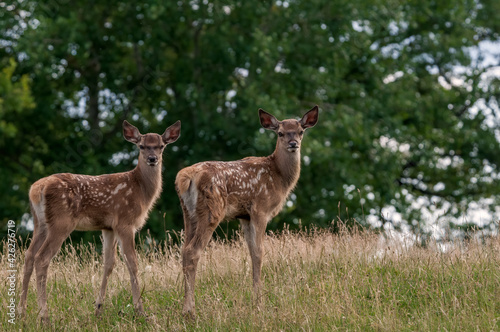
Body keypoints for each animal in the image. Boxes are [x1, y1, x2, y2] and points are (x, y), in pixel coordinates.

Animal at [18, 118, 181, 322]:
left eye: (161, 146)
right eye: (142, 146)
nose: (152, 159)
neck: (140, 189)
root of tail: (36, 189)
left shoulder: (108, 227)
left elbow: (108, 264)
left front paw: (98, 309)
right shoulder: (125, 222)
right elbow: (132, 263)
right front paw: (140, 310)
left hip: (39, 223)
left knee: (29, 255)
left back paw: (21, 312)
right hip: (61, 222)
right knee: (42, 258)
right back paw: (44, 316)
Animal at [174, 106, 318, 316]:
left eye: (300, 131)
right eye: (280, 133)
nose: (293, 144)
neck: (279, 177)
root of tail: (186, 176)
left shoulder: (244, 216)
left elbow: (250, 251)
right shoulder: (260, 208)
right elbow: (259, 252)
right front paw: (258, 302)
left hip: (188, 212)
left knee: (184, 250)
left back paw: (186, 307)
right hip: (212, 209)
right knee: (193, 251)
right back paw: (189, 311)